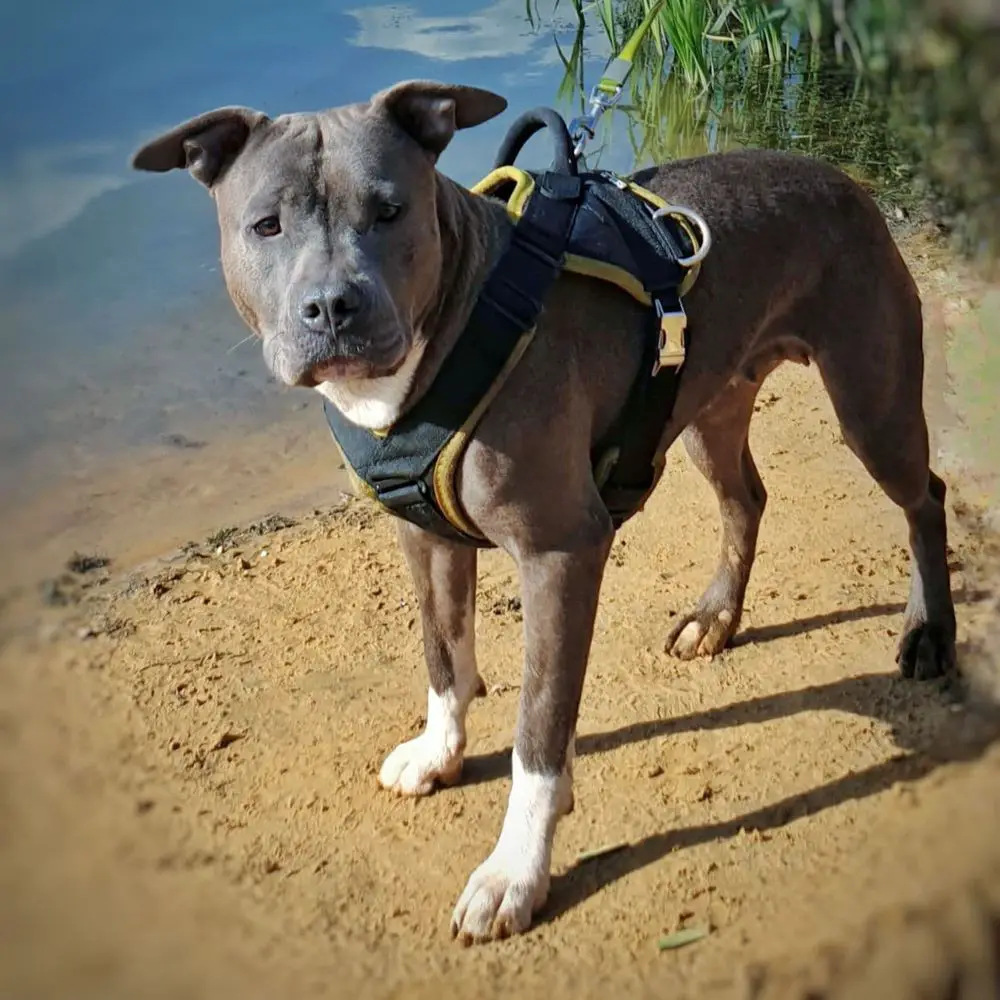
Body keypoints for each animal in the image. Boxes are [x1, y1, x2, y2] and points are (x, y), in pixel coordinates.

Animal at [131, 80, 956, 944]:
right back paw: (716, 617)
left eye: (390, 211)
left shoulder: (560, 552)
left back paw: (930, 631)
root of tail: (837, 174)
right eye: (266, 224)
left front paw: (514, 872)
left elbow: (539, 733)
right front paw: (439, 751)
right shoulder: (423, 535)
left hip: (871, 402)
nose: (332, 306)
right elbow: (443, 656)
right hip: (710, 404)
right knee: (746, 500)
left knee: (924, 497)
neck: (452, 331)